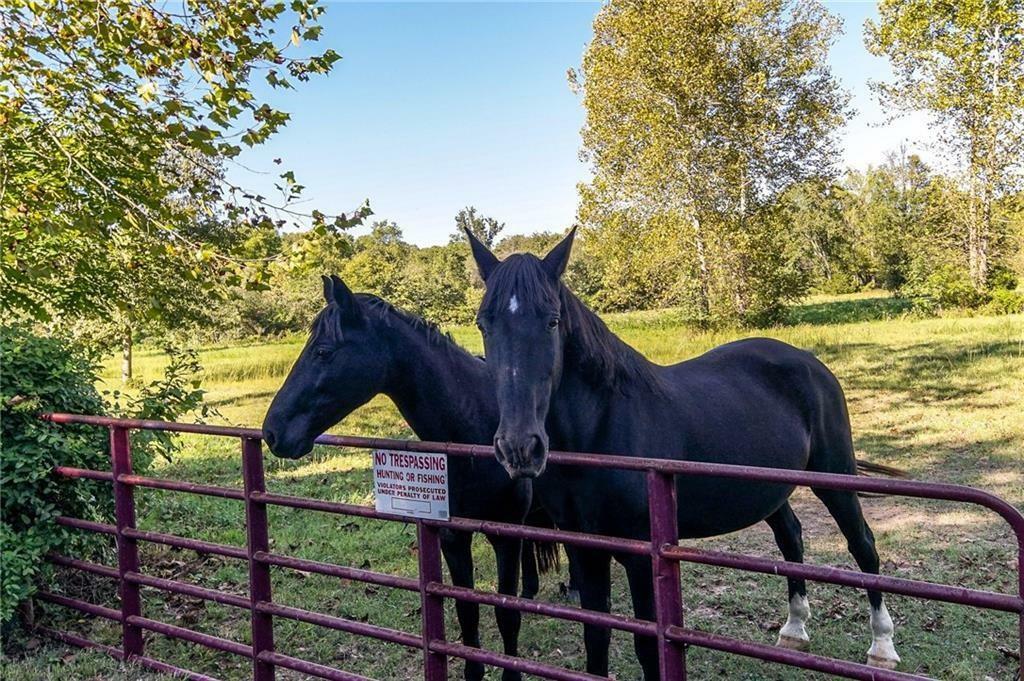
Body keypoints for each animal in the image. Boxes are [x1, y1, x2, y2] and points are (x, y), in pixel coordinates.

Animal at [260, 276, 565, 679]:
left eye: (323, 352)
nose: (272, 431)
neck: (474, 427)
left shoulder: (504, 536)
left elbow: (506, 616)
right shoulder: (453, 538)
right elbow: (467, 612)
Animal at [468, 228, 901, 675]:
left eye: (552, 321)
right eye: (484, 324)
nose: (520, 447)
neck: (602, 428)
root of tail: (808, 361)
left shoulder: (642, 558)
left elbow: (647, 647)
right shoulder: (585, 550)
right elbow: (596, 638)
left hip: (834, 477)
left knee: (863, 546)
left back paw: (882, 647)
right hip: (770, 488)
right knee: (791, 538)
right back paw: (794, 630)